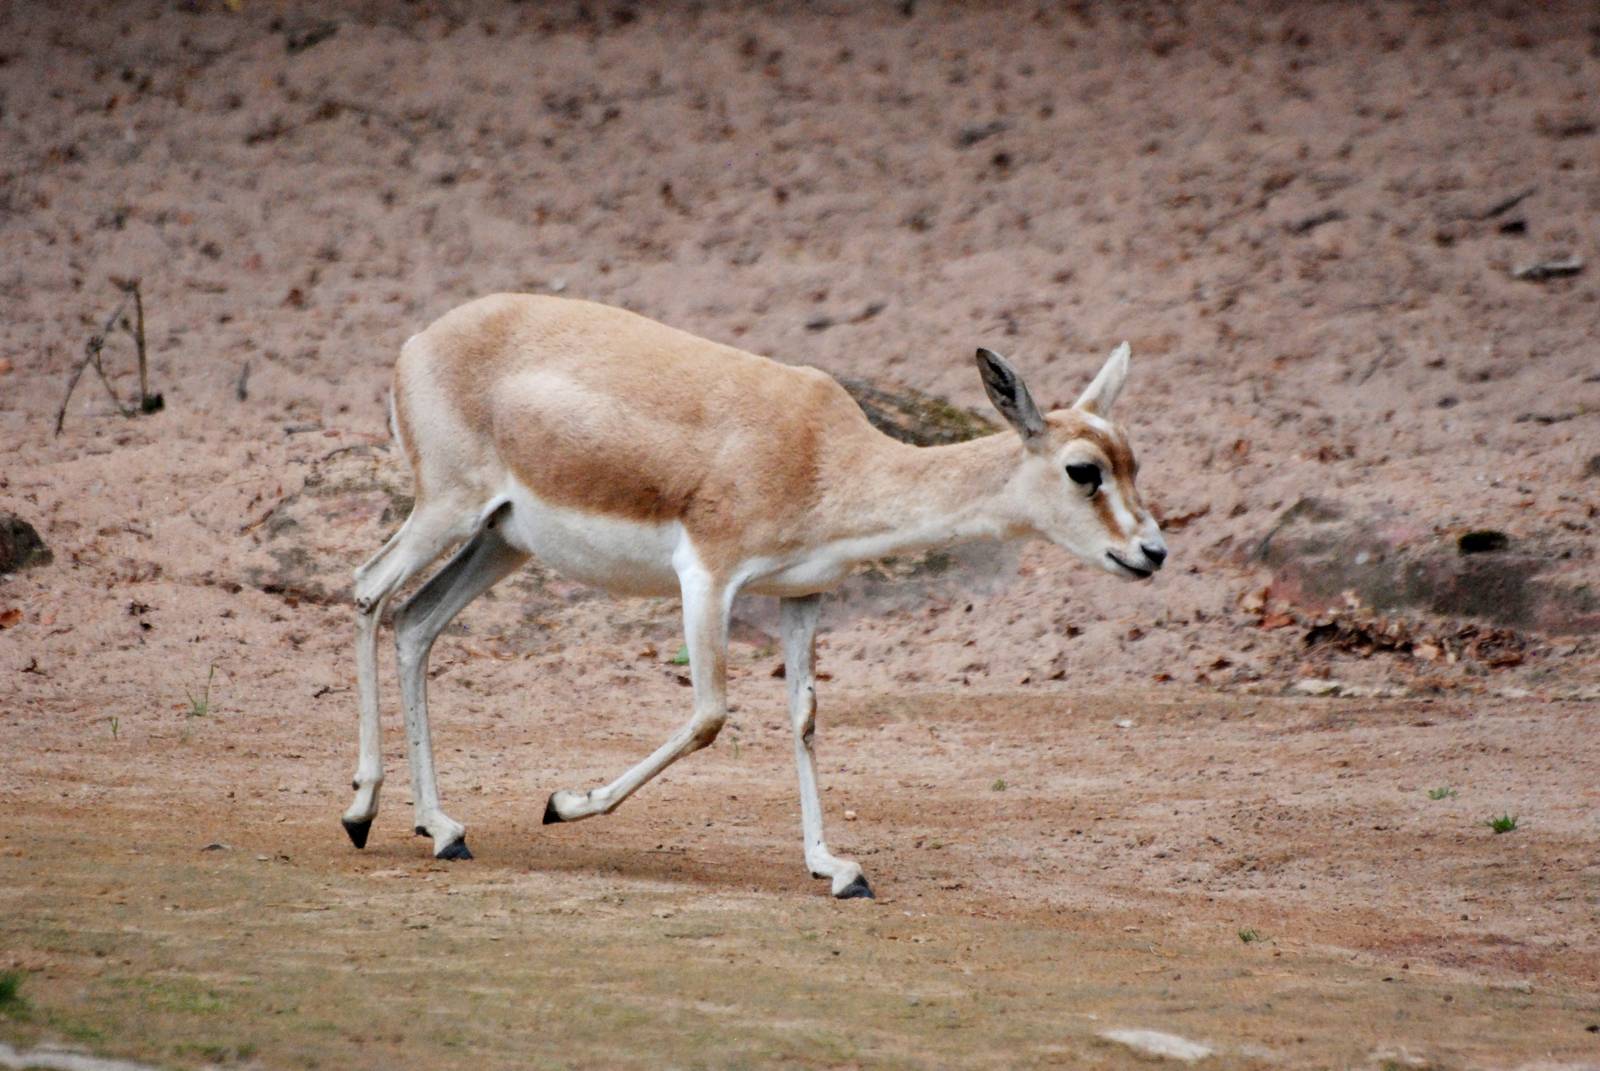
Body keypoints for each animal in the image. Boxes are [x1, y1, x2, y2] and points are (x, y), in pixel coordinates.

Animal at [341, 294, 1165, 898]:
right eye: (1084, 469)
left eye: (1133, 459)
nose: (1152, 552)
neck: (825, 456)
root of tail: (419, 341)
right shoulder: (707, 576)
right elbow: (710, 713)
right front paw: (563, 803)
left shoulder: (803, 595)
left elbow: (803, 719)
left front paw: (836, 868)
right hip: (447, 509)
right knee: (370, 590)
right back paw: (360, 813)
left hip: (501, 540)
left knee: (415, 622)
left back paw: (442, 828)